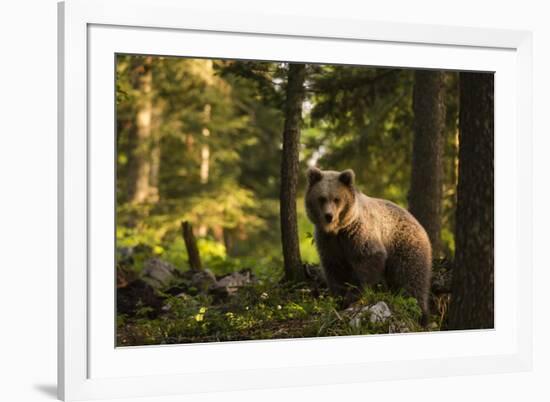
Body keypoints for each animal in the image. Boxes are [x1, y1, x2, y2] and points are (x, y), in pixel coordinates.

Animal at [304, 168, 434, 326]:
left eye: (336, 199)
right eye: (321, 198)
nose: (329, 216)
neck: (339, 229)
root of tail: (419, 224)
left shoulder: (358, 232)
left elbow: (368, 258)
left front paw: (353, 296)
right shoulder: (329, 241)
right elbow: (334, 267)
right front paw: (339, 298)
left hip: (405, 245)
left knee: (412, 278)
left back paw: (419, 313)